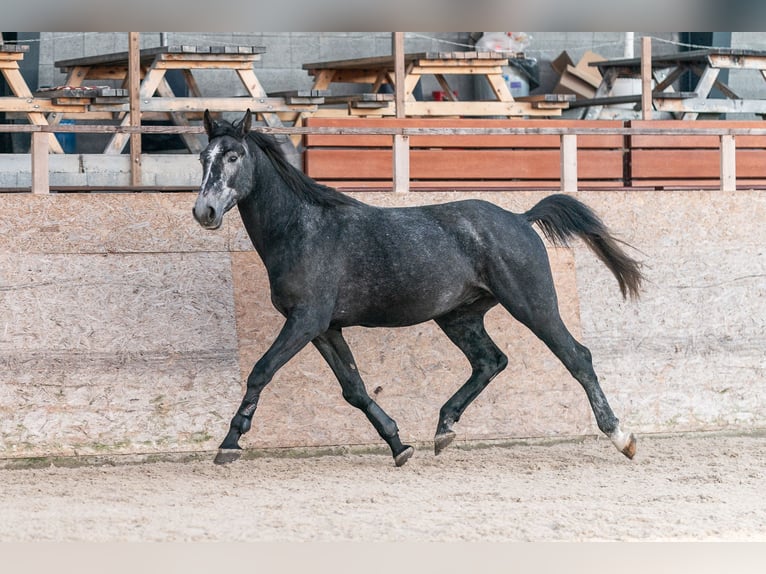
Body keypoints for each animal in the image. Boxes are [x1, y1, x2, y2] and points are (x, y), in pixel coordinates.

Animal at [195, 109, 644, 468]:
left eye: (233, 156)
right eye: (203, 158)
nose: (205, 211)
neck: (302, 229)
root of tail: (520, 218)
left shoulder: (306, 321)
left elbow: (261, 371)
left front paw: (229, 443)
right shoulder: (324, 328)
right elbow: (354, 389)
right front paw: (399, 445)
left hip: (533, 305)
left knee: (577, 357)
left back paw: (621, 437)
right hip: (459, 317)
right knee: (490, 361)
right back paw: (443, 429)